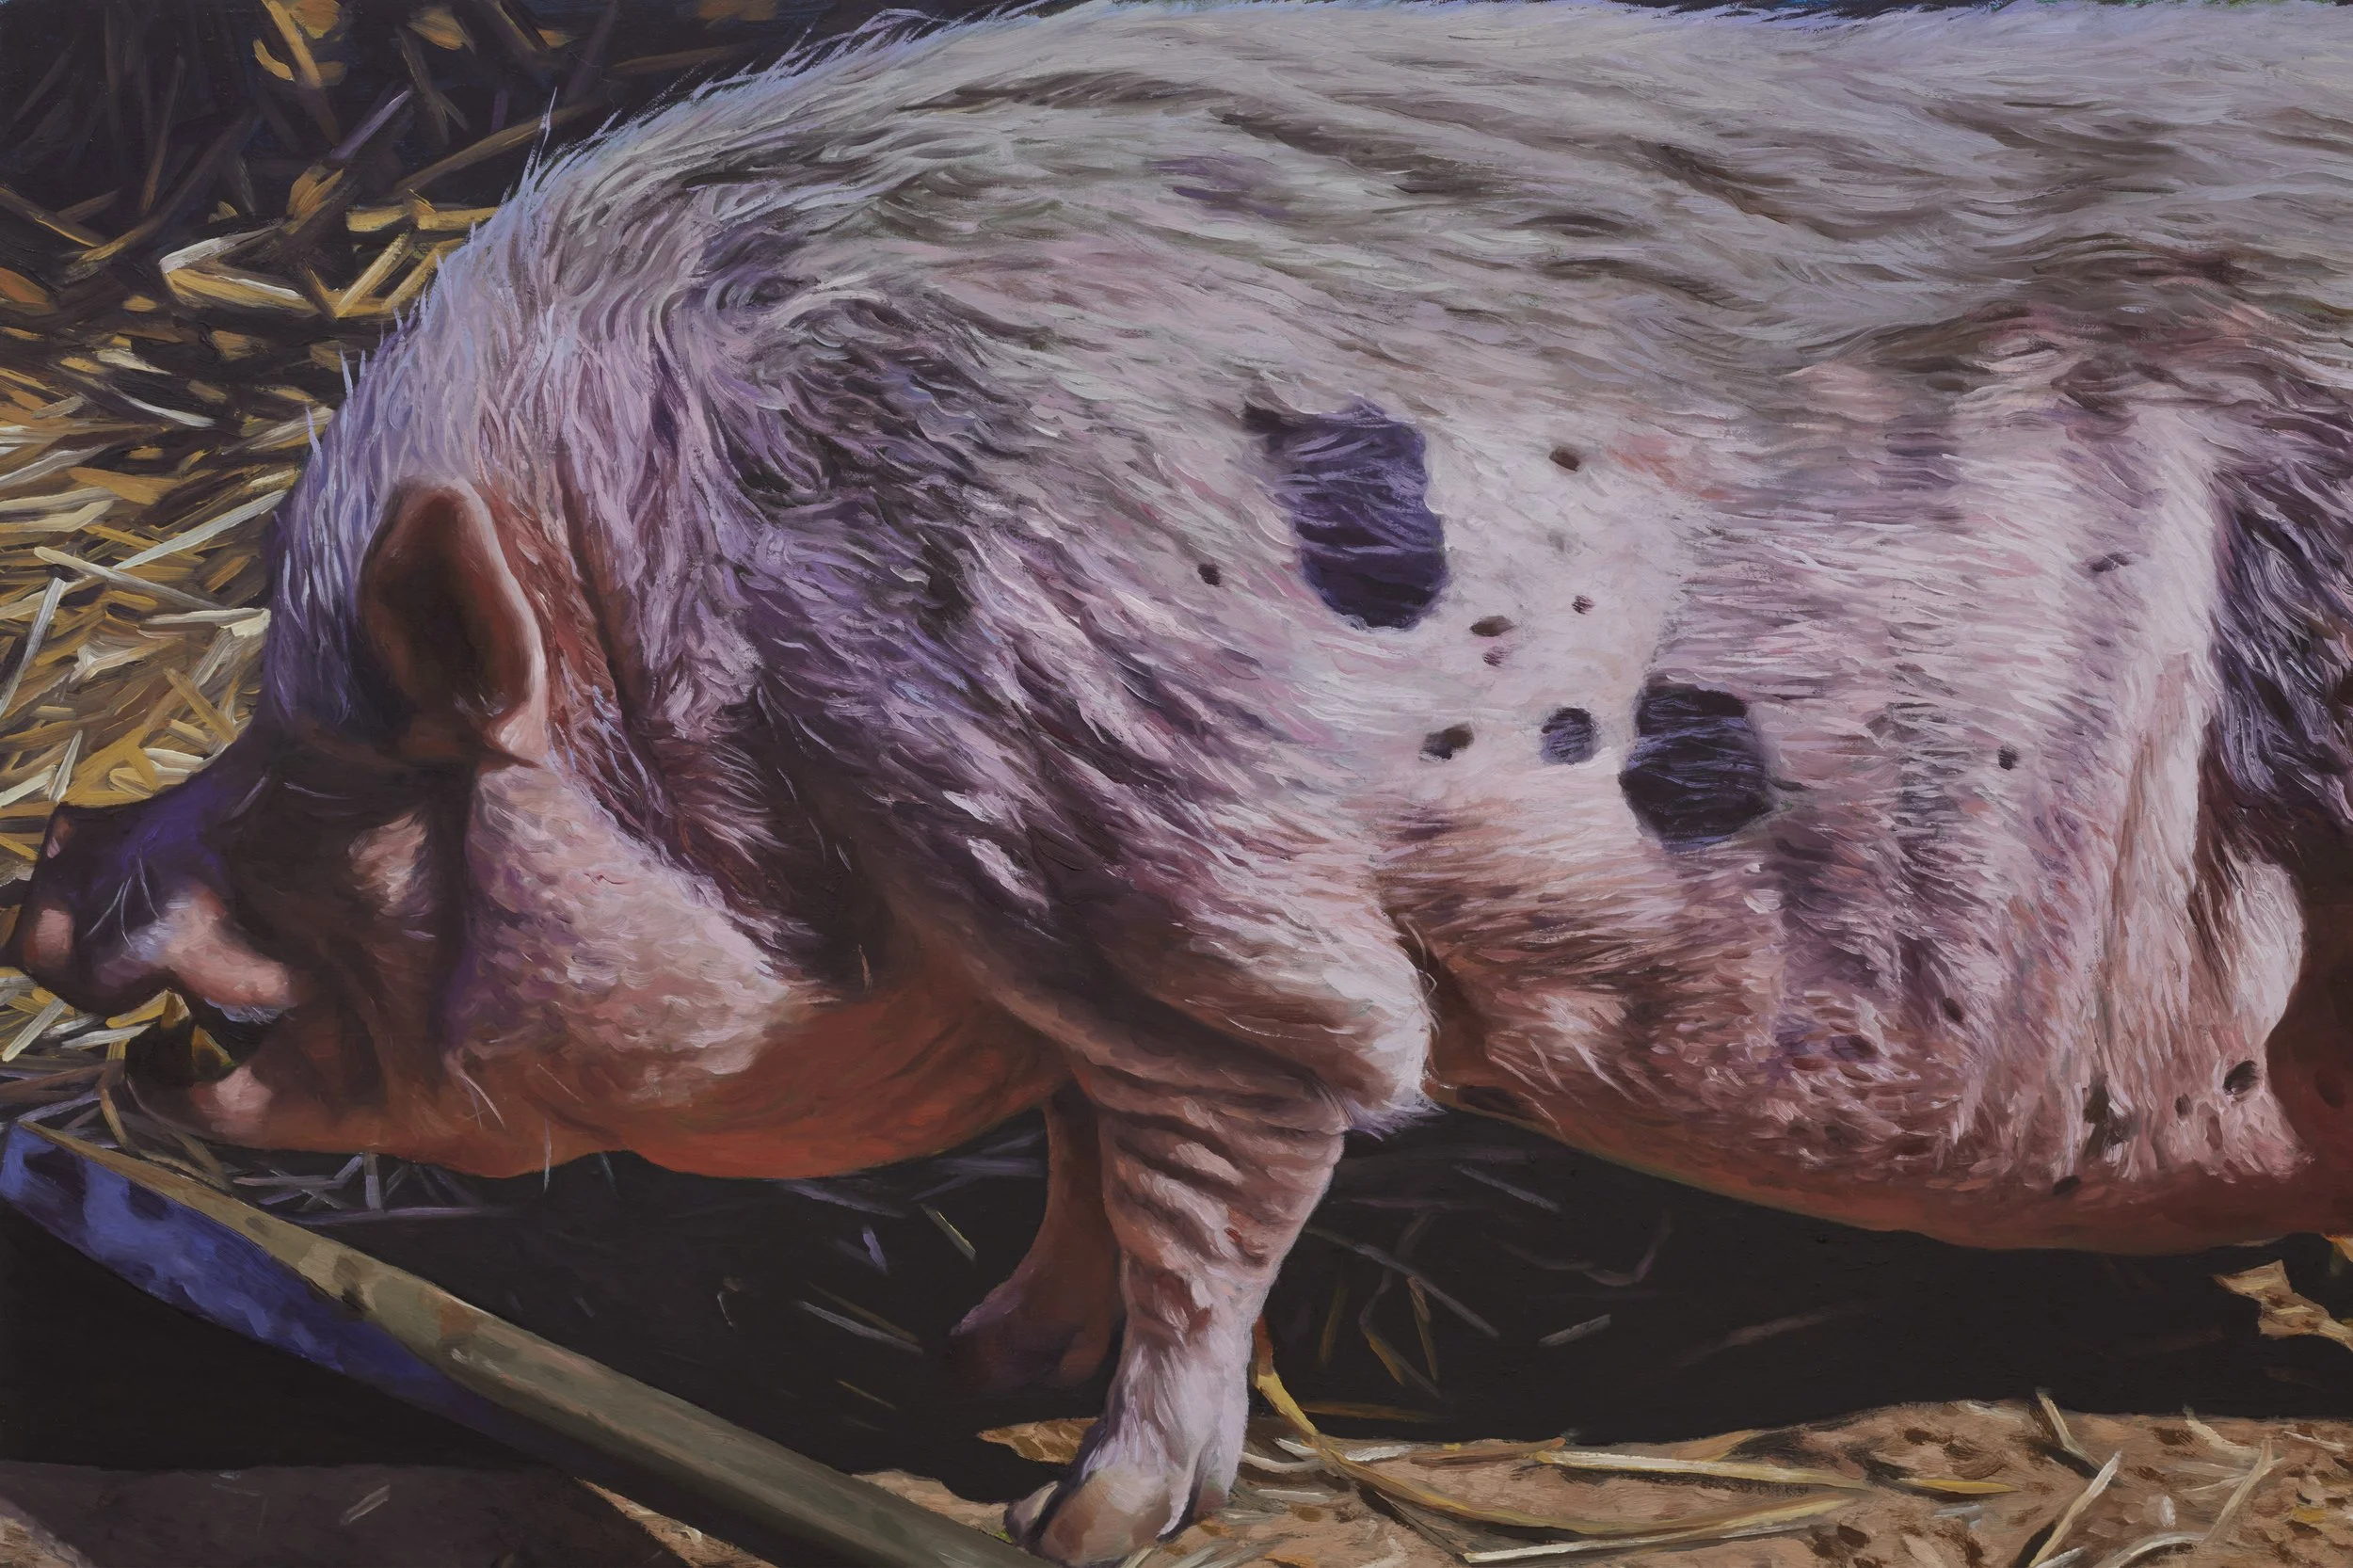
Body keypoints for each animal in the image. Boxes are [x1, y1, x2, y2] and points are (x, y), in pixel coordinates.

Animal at [20, 0, 2353, 1559]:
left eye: (346, 764)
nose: (50, 861)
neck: (726, 667)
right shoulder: (1049, 934)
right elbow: (1075, 1153)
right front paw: (969, 1360)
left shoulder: (1188, 911)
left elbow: (1202, 1205)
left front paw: (1074, 1511)